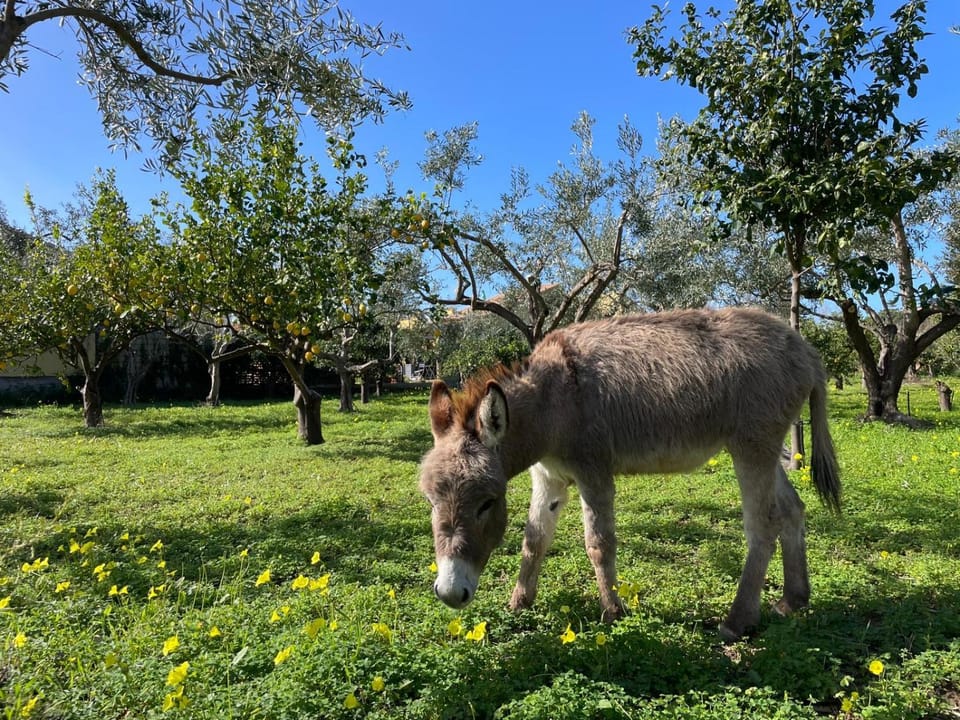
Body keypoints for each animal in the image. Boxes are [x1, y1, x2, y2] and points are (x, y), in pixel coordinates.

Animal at [418, 307, 841, 640]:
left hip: (751, 448)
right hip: (767, 450)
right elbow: (534, 539)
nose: (450, 593)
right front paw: (519, 603)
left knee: (763, 525)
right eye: (430, 501)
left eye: (487, 504)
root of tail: (805, 349)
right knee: (792, 510)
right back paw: (794, 599)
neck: (554, 400)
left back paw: (737, 621)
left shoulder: (594, 472)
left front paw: (613, 612)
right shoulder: (548, 477)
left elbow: (598, 543)